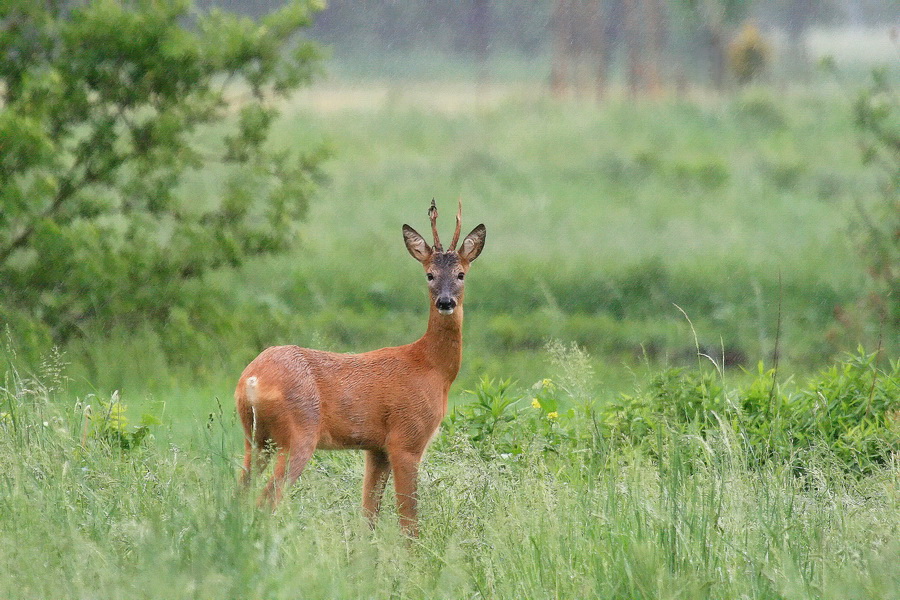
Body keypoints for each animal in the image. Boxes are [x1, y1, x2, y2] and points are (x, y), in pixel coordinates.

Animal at [232, 199, 486, 536]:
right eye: (429, 275)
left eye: (460, 274)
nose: (445, 302)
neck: (431, 368)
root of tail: (252, 379)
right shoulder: (407, 438)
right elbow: (408, 520)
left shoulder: (375, 448)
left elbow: (369, 516)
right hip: (298, 432)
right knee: (266, 501)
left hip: (256, 439)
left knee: (237, 495)